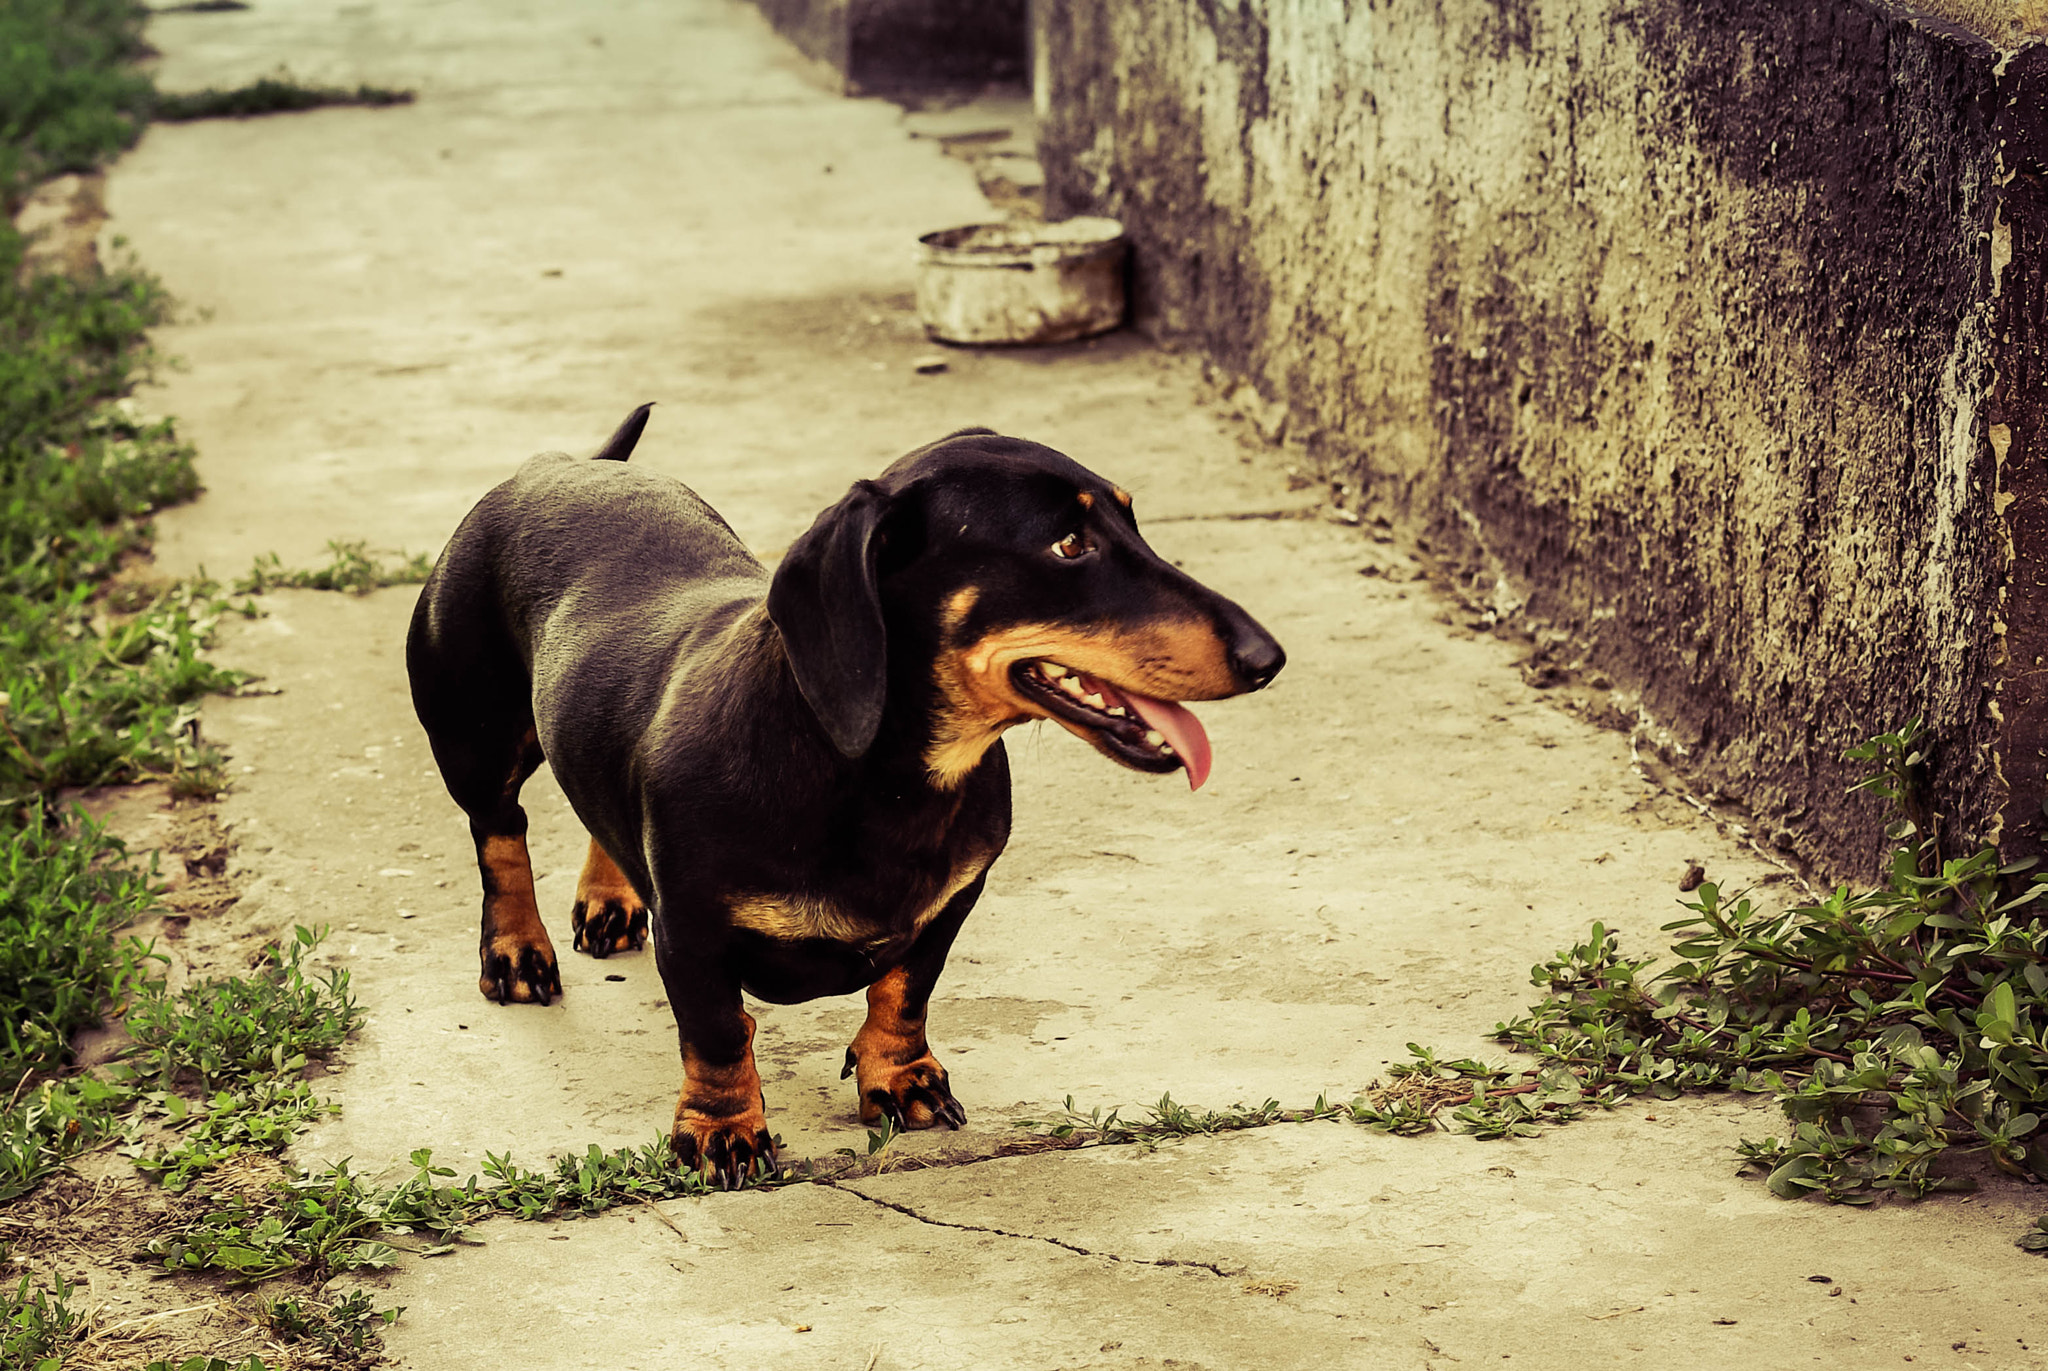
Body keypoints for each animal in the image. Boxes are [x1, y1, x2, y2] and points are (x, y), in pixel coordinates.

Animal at [403, 403, 1277, 1180]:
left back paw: (610, 900)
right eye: (1068, 543)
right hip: (474, 738)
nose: (1268, 657)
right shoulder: (693, 932)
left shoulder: (954, 900)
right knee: (499, 833)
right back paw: (517, 951)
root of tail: (563, 465)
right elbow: (718, 1031)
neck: (874, 780)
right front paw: (722, 1130)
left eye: (1135, 522)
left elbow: (906, 989)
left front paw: (901, 1077)